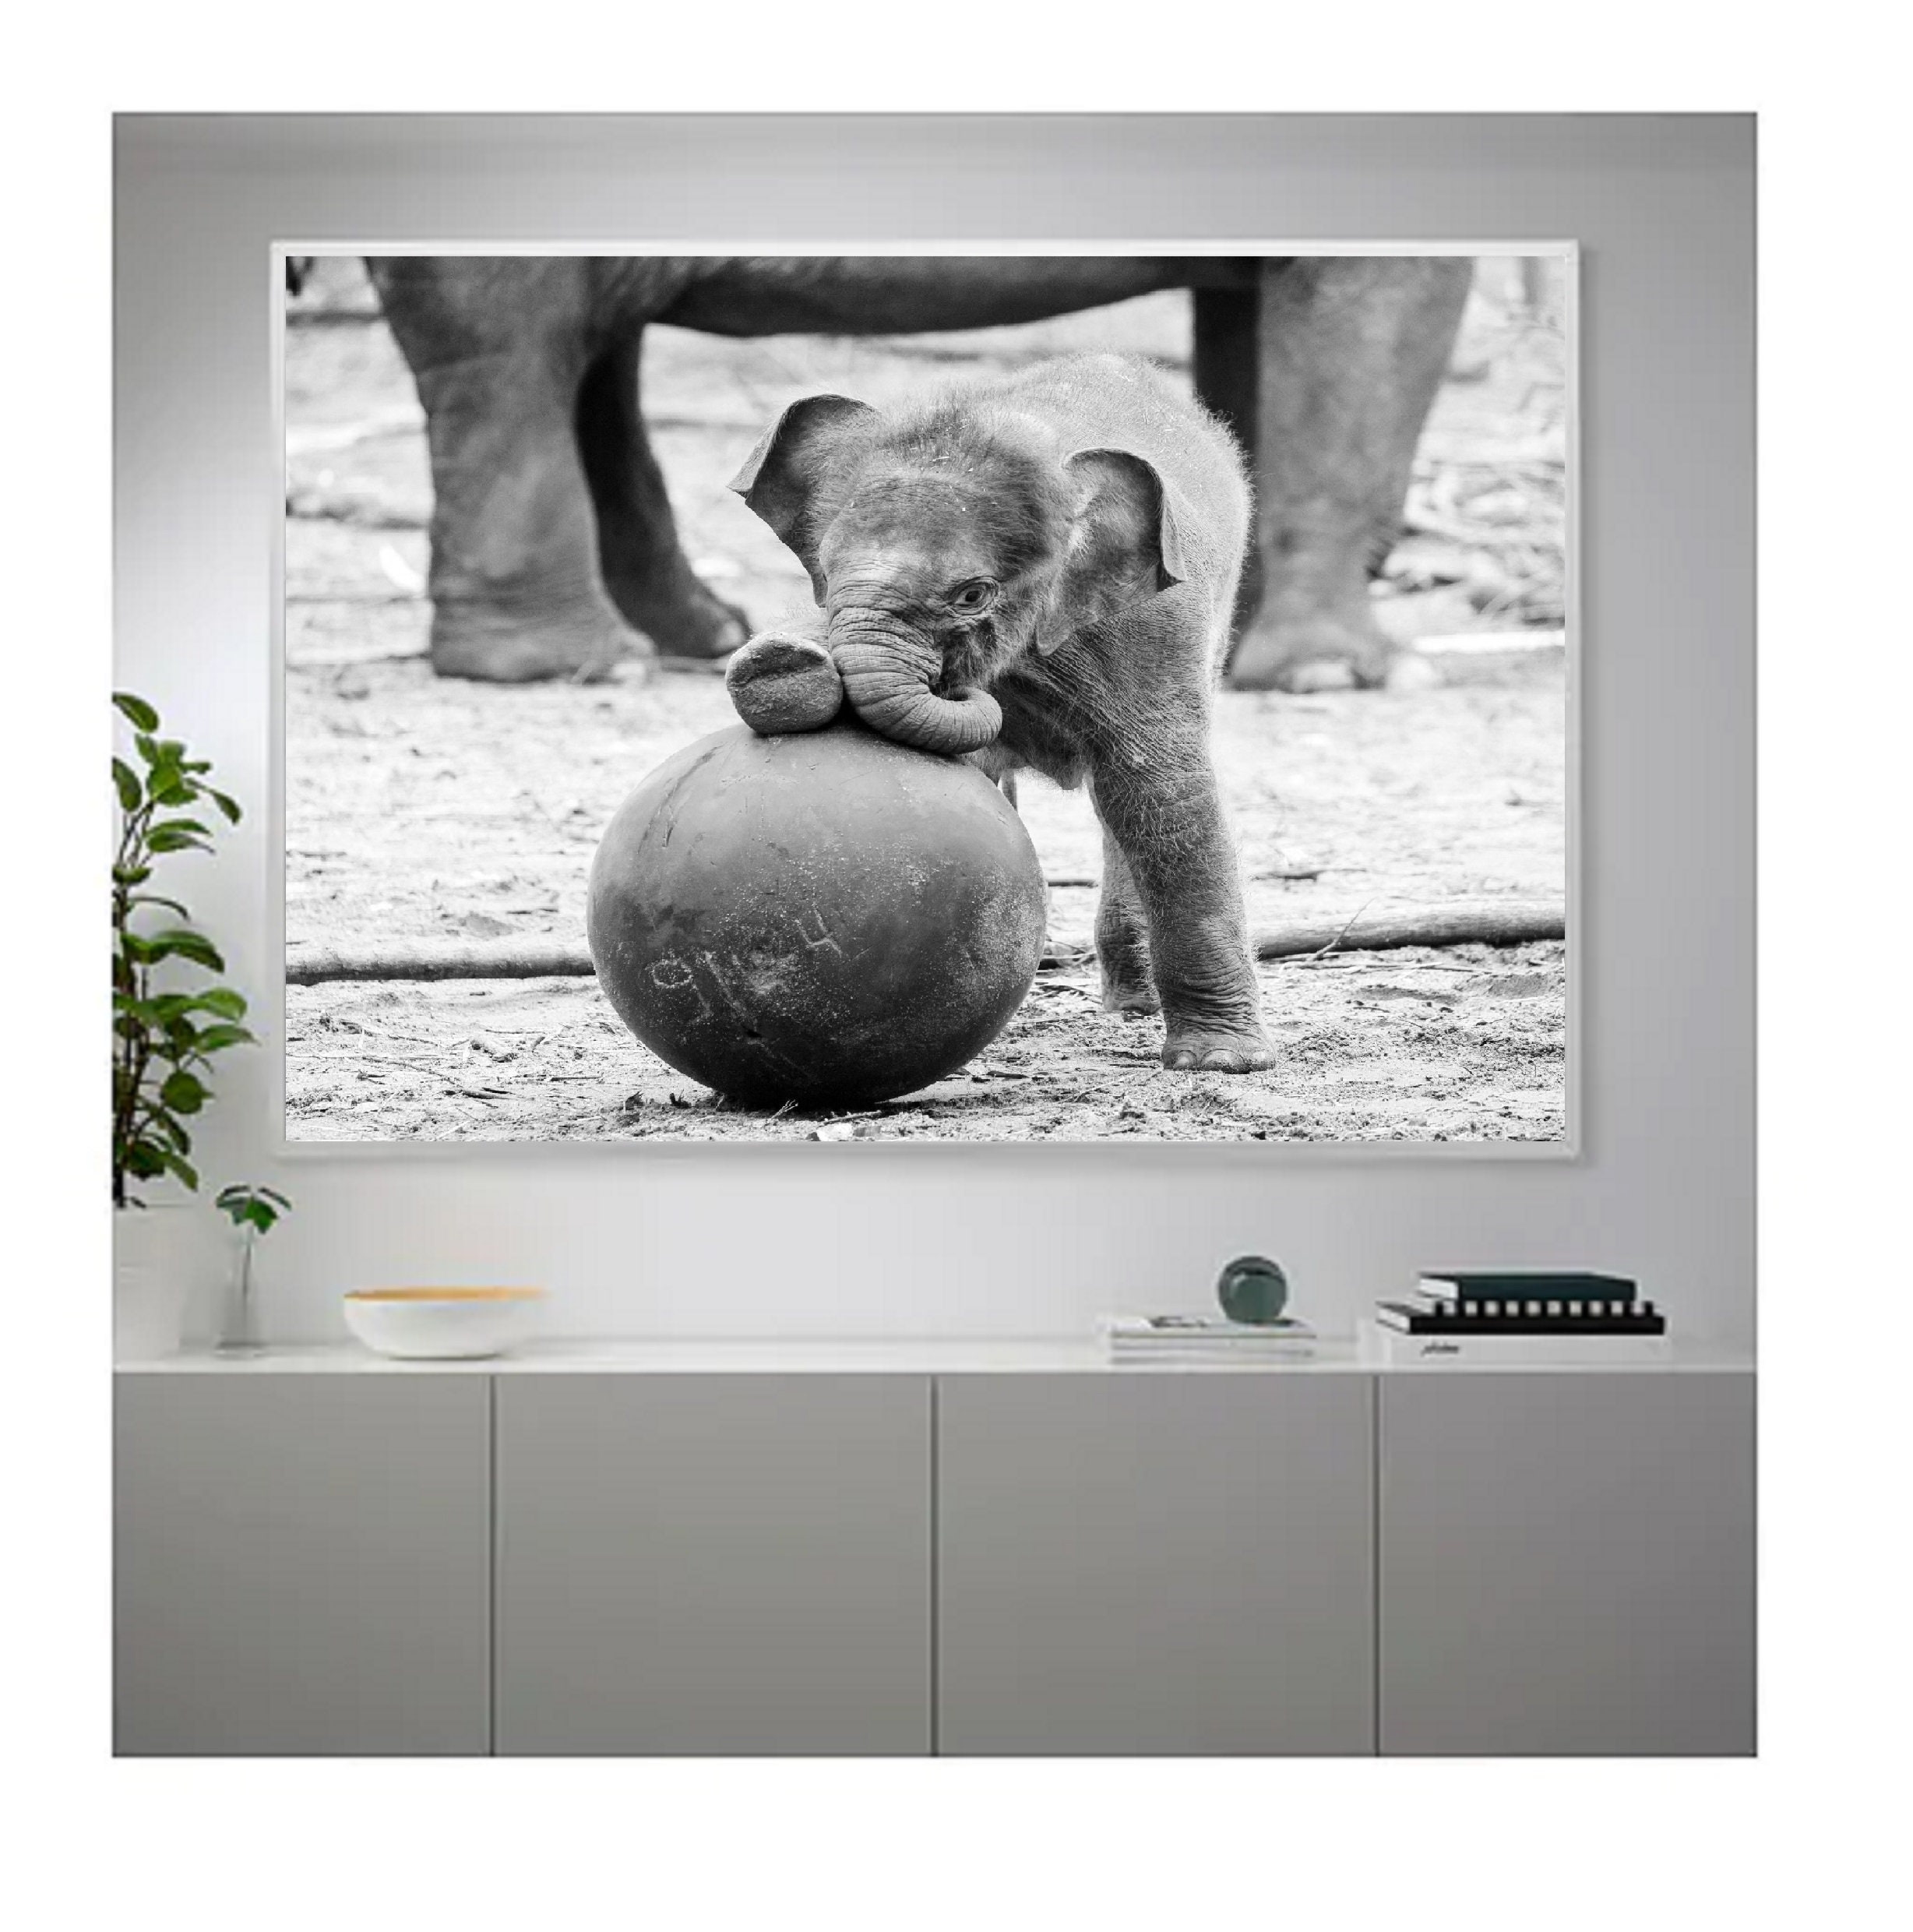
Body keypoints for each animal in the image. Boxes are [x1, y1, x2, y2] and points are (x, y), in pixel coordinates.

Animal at [722, 352, 1273, 1074]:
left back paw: (1134, 1010)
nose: (781, 653)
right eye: (825, 569)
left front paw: (1221, 1063)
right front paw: (781, 667)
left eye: (972, 595)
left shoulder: (1149, 629)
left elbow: (1161, 794)